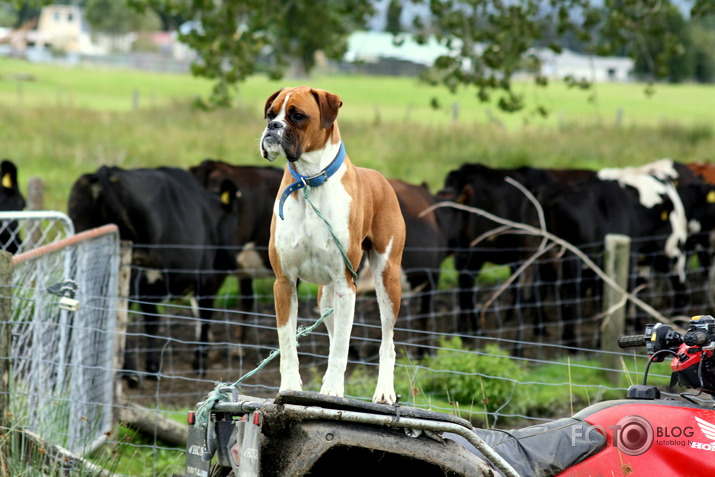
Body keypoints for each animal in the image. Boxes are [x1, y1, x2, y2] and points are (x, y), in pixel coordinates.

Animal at [66, 165, 238, 378]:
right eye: (236, 219)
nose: (232, 262)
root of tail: (106, 171)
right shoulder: (204, 276)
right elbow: (205, 315)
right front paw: (199, 363)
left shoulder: (150, 287)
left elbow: (152, 321)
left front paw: (153, 365)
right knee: (119, 315)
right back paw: (129, 372)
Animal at [262, 87, 408, 404]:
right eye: (270, 114)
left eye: (297, 116)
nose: (272, 127)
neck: (308, 181)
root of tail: (382, 178)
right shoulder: (284, 283)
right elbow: (288, 343)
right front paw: (290, 386)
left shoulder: (346, 284)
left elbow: (342, 345)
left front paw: (332, 390)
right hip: (326, 297)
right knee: (332, 336)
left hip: (387, 280)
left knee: (387, 341)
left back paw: (384, 390)